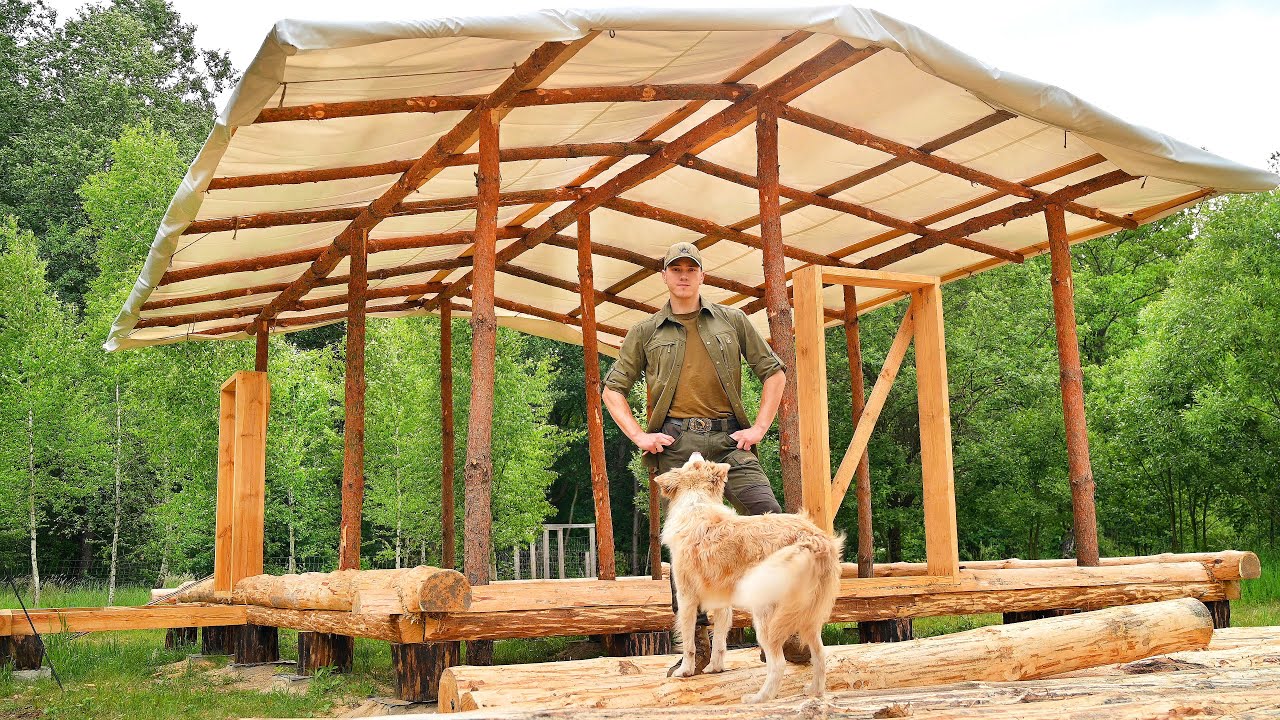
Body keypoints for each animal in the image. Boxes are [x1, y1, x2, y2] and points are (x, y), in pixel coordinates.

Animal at [655, 453, 844, 702]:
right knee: (821, 655)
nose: (696, 452)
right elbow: (720, 640)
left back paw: (759, 698)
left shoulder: (687, 598)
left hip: (765, 616)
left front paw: (685, 671)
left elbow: (688, 642)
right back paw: (814, 692)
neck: (697, 503)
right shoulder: (722, 604)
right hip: (809, 617)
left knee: (778, 664)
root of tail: (813, 538)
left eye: (694, 463)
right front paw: (714, 668)